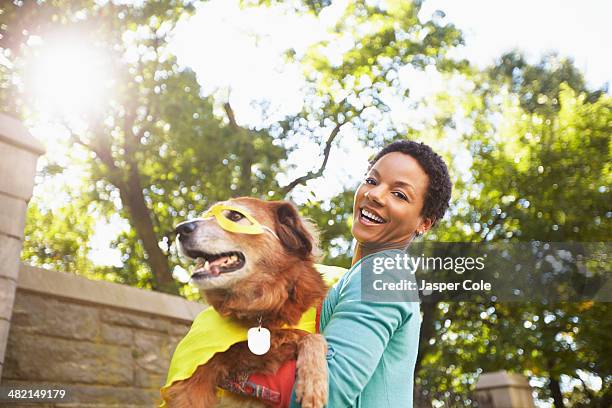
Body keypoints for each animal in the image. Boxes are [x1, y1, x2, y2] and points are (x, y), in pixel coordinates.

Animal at [160, 198, 328, 408]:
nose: (180, 229)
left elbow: (313, 336)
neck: (261, 309)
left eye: (235, 215)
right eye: (207, 215)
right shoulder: (193, 377)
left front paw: (314, 382)